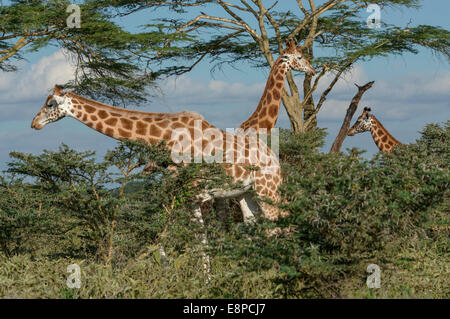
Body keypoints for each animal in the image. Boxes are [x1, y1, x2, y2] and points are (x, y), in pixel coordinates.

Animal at [31, 84, 284, 222]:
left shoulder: (189, 192)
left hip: (268, 190)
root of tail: (275, 159)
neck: (164, 134)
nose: (34, 123)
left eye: (51, 104)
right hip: (248, 193)